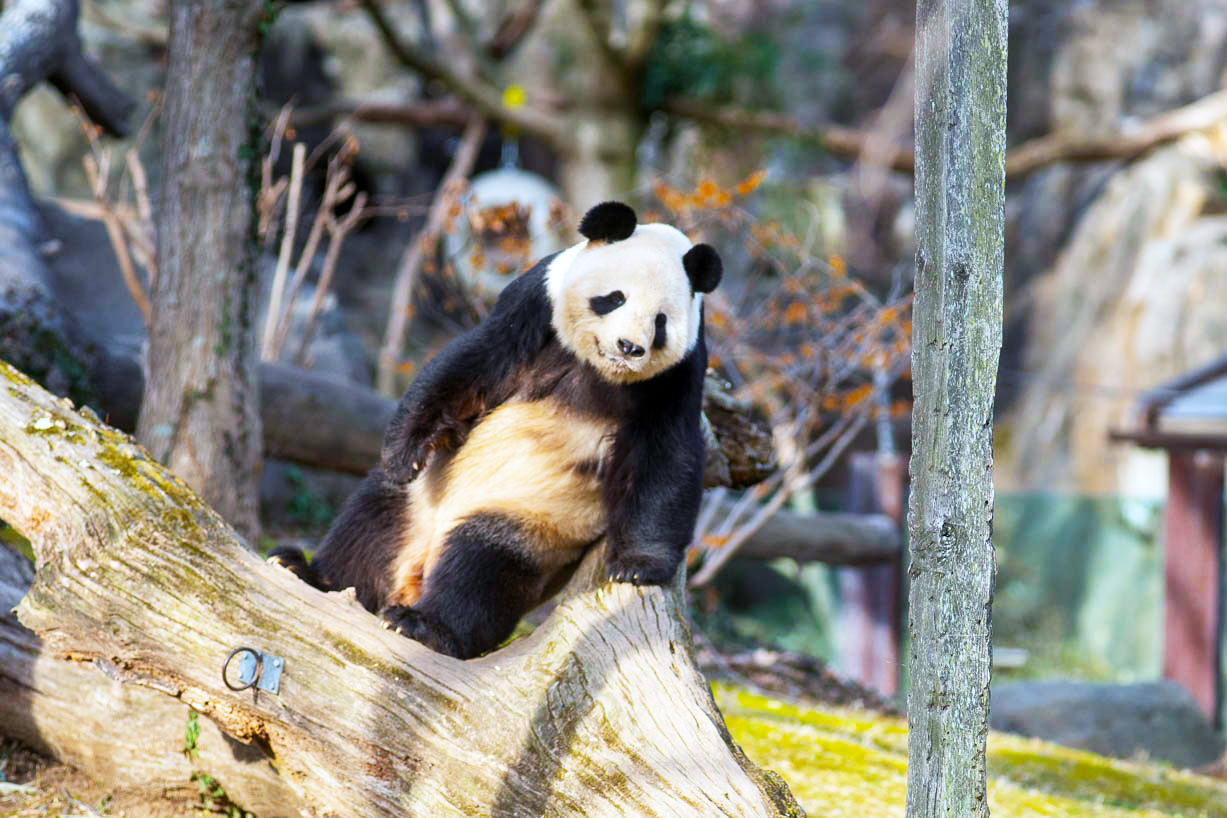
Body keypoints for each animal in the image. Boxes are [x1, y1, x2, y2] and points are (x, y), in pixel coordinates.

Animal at [271, 201, 716, 662]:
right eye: (613, 298)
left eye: (660, 322)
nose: (629, 347)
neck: (601, 371)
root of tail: (420, 561)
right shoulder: (534, 302)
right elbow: (472, 365)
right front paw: (403, 452)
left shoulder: (676, 377)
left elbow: (667, 458)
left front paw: (638, 564)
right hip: (418, 501)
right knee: (369, 522)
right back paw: (307, 571)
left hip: (532, 522)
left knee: (483, 565)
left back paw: (424, 624)